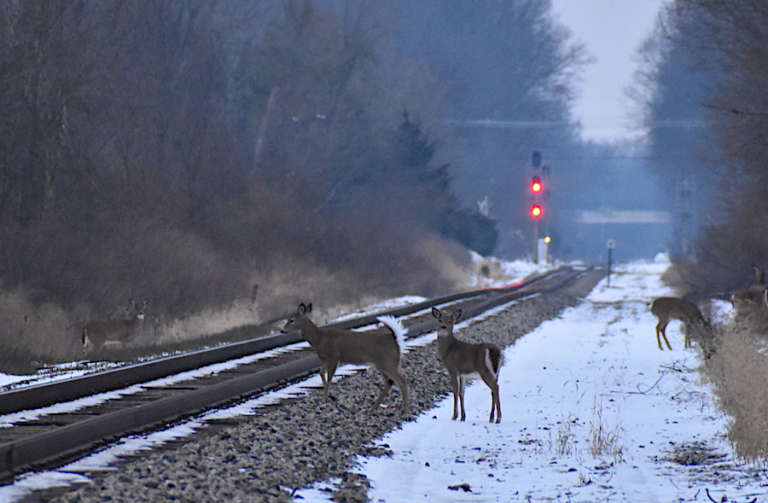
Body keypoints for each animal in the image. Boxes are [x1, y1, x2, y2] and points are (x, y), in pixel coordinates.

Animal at [283, 303, 411, 415]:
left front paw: (324, 398)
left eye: (291, 320)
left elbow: (329, 377)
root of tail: (395, 340)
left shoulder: (334, 356)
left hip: (388, 362)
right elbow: (321, 372)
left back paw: (405, 412)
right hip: (384, 364)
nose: (282, 330)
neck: (319, 339)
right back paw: (373, 408)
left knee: (402, 380)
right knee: (389, 382)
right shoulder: (328, 359)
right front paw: (329, 395)